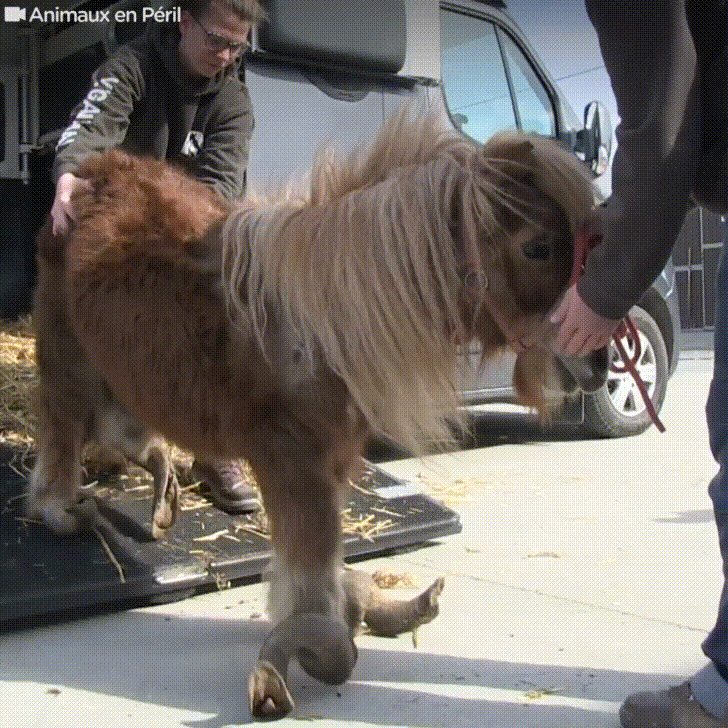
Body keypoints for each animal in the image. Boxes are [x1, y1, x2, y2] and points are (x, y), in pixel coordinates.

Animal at [29, 109, 605, 719]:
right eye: (537, 247)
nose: (598, 360)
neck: (321, 320)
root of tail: (93, 171)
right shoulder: (291, 465)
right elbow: (315, 587)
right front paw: (298, 663)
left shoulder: (332, 460)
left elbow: (322, 573)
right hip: (66, 353)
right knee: (63, 432)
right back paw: (64, 510)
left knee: (121, 433)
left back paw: (161, 499)